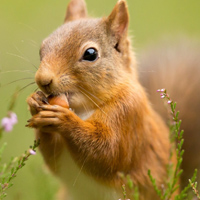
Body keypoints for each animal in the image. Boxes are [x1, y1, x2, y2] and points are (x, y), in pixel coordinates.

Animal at [26, 0, 180, 200]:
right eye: (42, 48)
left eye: (90, 54)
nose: (43, 80)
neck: (83, 108)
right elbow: (53, 158)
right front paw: (34, 101)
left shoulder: (128, 113)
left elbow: (107, 153)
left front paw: (63, 119)